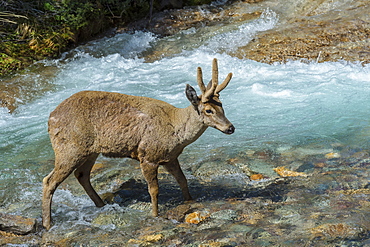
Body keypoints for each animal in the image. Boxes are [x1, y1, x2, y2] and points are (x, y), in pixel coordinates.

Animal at [42, 58, 233, 230]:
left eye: (222, 106)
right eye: (208, 110)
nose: (231, 127)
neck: (176, 131)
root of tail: (51, 117)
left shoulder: (170, 157)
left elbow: (182, 180)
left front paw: (189, 201)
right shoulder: (148, 155)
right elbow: (154, 190)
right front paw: (155, 215)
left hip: (90, 151)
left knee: (81, 175)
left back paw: (101, 205)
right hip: (69, 147)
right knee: (49, 180)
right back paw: (47, 224)